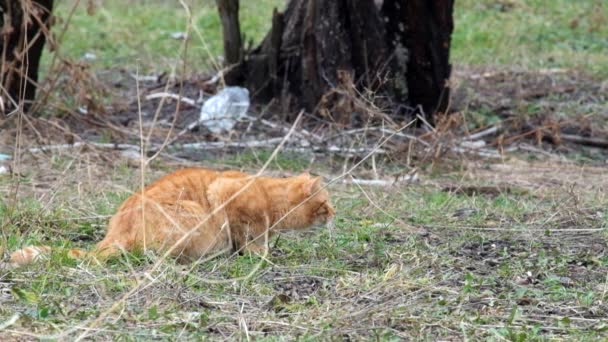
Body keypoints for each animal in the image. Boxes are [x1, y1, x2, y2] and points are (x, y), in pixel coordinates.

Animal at [7, 168, 334, 268]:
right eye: (327, 204)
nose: (334, 213)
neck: (268, 193)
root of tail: (115, 231)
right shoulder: (228, 196)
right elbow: (251, 238)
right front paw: (260, 254)